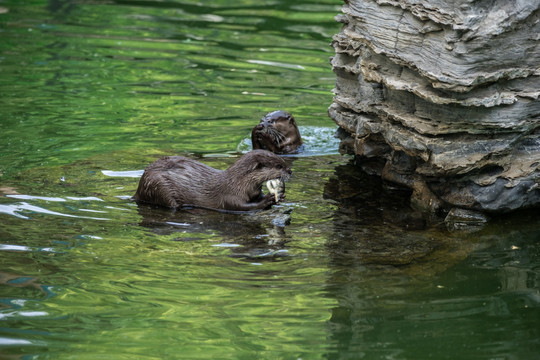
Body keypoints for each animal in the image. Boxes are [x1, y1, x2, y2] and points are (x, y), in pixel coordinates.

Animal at [133, 150, 292, 212]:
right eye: (279, 166)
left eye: (283, 161)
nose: (290, 171)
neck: (238, 183)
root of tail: (138, 189)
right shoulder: (229, 195)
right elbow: (240, 206)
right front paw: (267, 200)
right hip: (159, 187)